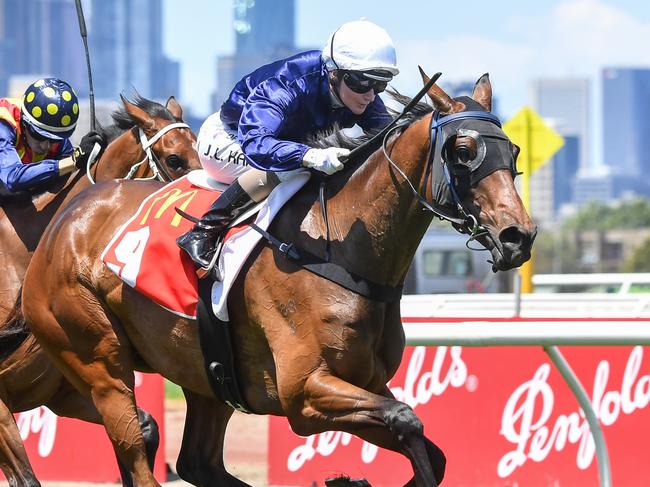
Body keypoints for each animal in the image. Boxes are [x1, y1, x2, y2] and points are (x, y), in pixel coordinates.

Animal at [22, 70, 536, 486]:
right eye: (464, 151)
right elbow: (407, 419)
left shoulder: (364, 382)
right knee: (135, 441)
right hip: (97, 360)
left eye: (512, 150)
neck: (338, 247)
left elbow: (428, 448)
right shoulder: (303, 394)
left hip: (205, 373)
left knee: (197, 463)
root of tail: (68, 215)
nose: (518, 236)